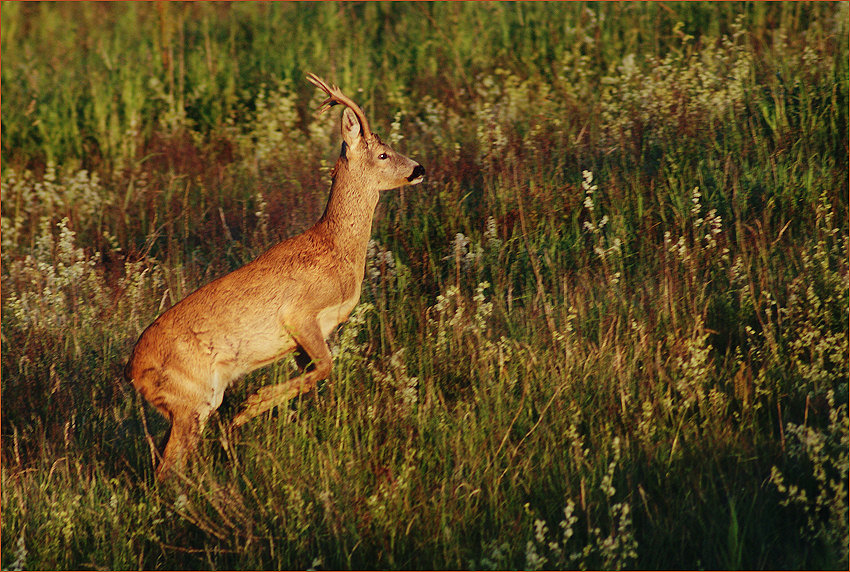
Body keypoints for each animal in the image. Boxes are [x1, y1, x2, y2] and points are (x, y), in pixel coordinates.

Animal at [125, 73, 424, 480]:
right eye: (382, 154)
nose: (419, 169)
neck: (337, 248)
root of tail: (132, 371)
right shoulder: (300, 313)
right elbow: (327, 365)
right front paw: (250, 407)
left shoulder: (301, 342)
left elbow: (317, 375)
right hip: (193, 398)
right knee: (168, 468)